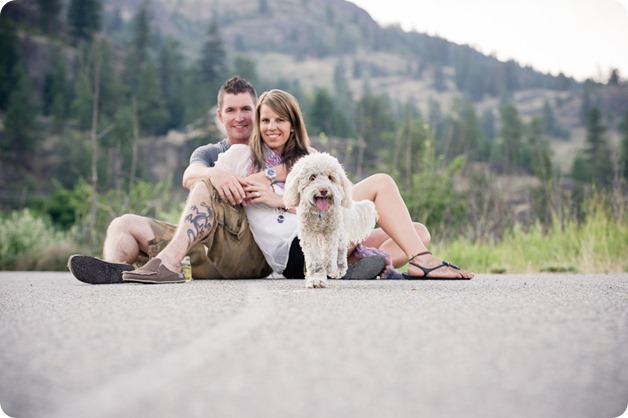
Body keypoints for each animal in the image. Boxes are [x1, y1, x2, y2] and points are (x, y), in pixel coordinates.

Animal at [284, 153, 378, 288]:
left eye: (330, 177)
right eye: (312, 177)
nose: (323, 190)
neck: (319, 213)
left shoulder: (332, 230)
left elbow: (329, 251)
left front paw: (329, 268)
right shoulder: (308, 232)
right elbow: (314, 257)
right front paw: (316, 279)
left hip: (341, 226)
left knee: (341, 246)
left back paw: (339, 267)